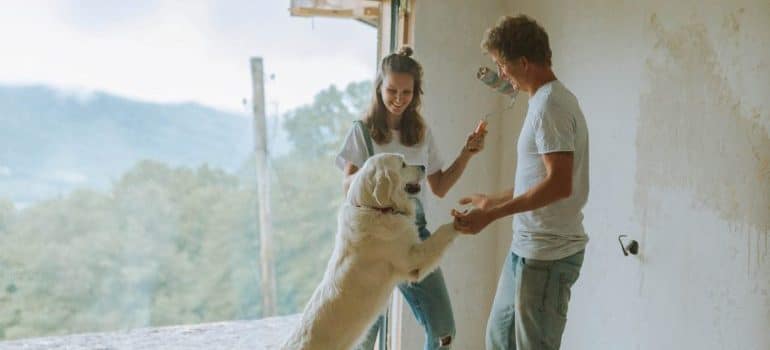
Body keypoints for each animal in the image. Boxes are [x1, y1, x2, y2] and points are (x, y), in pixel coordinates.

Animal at [282, 153, 462, 350]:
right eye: (403, 164)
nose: (423, 166)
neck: (376, 209)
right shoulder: (412, 260)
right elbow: (440, 234)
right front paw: (460, 221)